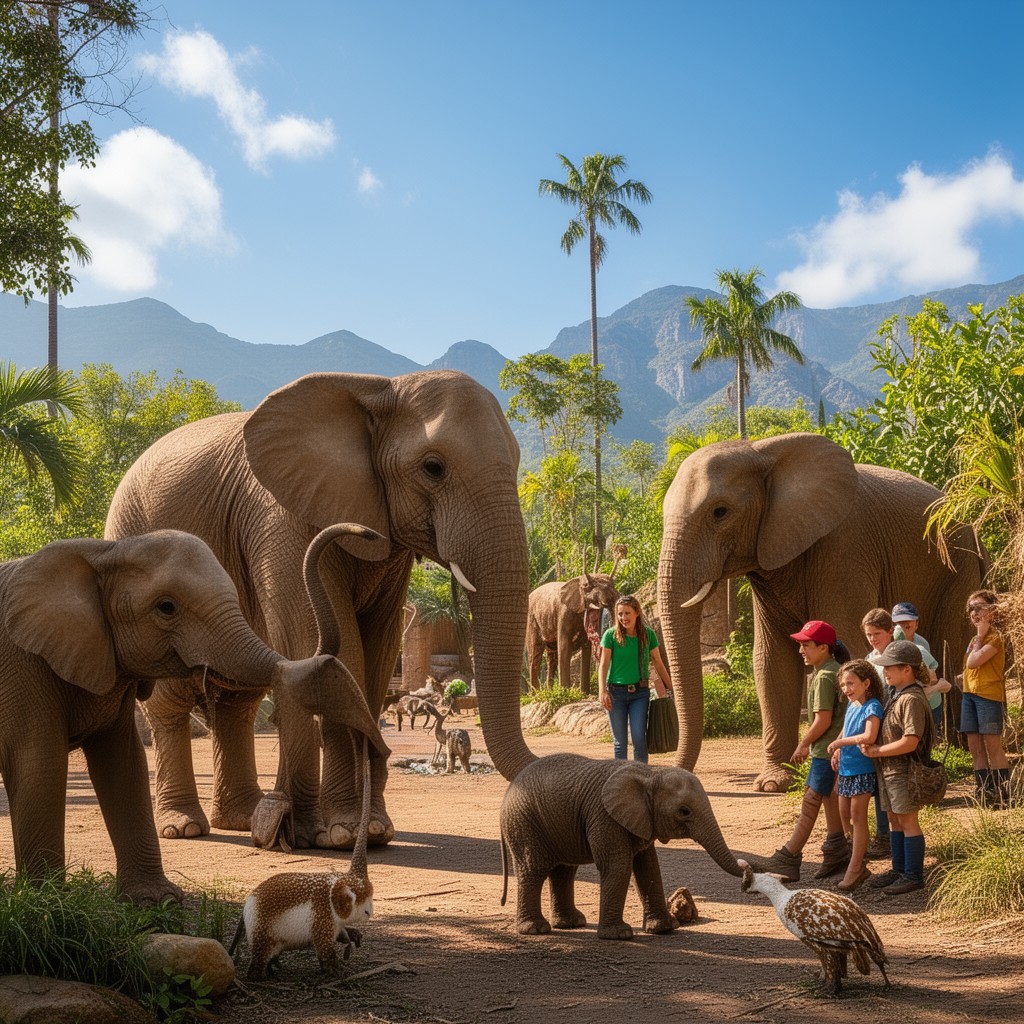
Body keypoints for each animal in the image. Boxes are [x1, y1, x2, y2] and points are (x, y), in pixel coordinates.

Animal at [0, 530, 386, 903]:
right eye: (166, 607)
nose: (370, 534)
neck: (102, 553)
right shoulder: (23, 666)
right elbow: (39, 764)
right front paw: (48, 903)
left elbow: (124, 766)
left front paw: (157, 903)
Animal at [105, 370, 535, 850]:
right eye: (433, 468)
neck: (378, 388)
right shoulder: (281, 520)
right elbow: (329, 644)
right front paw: (343, 833)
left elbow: (378, 649)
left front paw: (374, 831)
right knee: (172, 700)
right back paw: (184, 827)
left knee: (239, 700)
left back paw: (244, 818)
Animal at [499, 752, 742, 940]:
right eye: (684, 811)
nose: (745, 867)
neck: (650, 773)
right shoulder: (605, 817)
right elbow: (618, 866)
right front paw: (620, 935)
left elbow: (648, 867)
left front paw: (665, 929)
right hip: (525, 823)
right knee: (534, 870)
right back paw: (536, 930)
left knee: (563, 871)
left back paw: (572, 923)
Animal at [657, 432, 986, 792]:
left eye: (720, 512)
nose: (681, 778)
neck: (762, 449)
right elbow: (771, 660)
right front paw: (773, 783)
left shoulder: (844, 545)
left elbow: (846, 638)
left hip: (959, 564)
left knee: (953, 646)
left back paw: (959, 750)